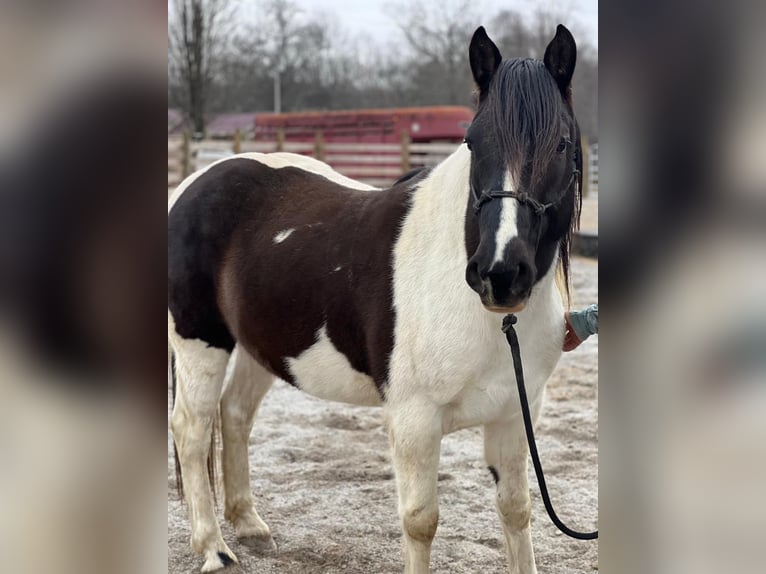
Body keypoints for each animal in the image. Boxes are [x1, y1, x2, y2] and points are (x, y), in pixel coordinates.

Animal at [168, 23, 584, 574]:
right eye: (473, 142)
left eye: (561, 144)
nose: (500, 274)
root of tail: (193, 184)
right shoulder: (414, 421)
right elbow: (421, 522)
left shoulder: (515, 414)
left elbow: (516, 510)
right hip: (200, 342)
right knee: (192, 431)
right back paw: (214, 548)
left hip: (261, 345)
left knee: (234, 415)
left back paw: (250, 525)